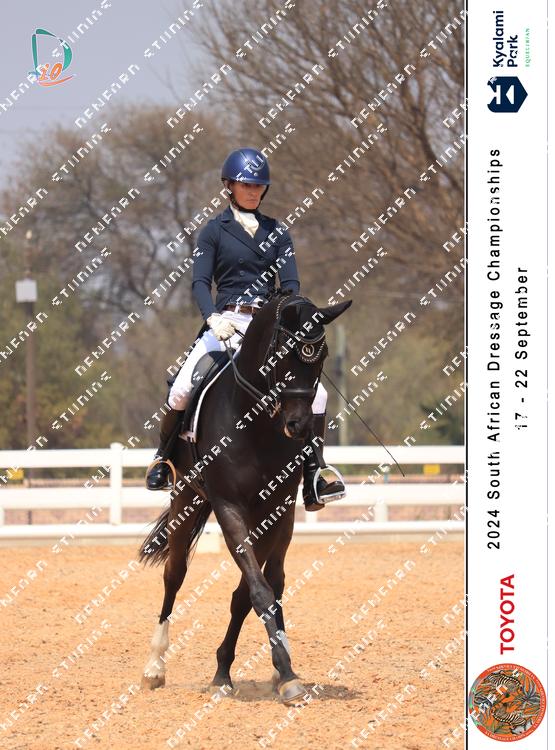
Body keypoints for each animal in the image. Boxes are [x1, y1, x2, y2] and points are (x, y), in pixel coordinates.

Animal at [139, 290, 351, 705]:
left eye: (319, 356)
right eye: (281, 355)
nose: (299, 427)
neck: (256, 424)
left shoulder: (276, 509)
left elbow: (252, 591)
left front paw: (266, 670)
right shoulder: (229, 507)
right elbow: (257, 589)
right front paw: (278, 671)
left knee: (277, 577)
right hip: (186, 498)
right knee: (174, 575)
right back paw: (154, 666)